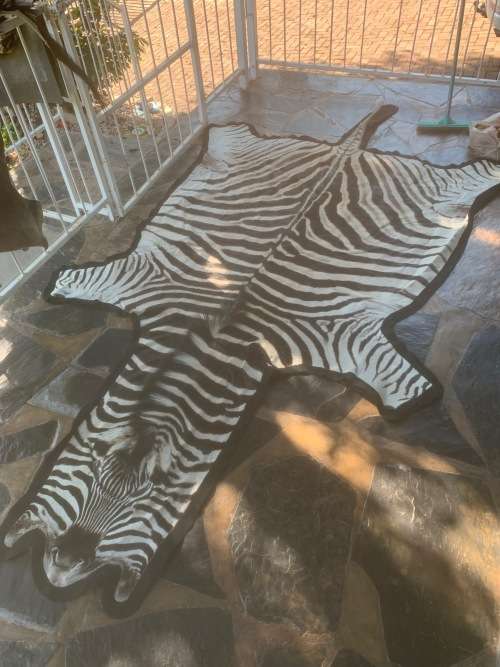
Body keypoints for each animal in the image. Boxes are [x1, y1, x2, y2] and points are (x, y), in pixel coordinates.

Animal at [3, 104, 500, 614]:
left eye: (154, 494)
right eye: (89, 466)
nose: (67, 561)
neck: (199, 342)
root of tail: (343, 150)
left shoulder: (351, 342)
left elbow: (406, 387)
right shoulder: (130, 278)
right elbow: (72, 281)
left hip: (446, 188)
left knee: (477, 175)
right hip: (242, 151)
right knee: (230, 133)